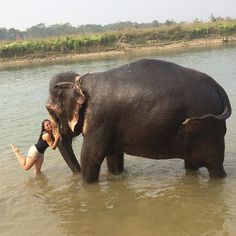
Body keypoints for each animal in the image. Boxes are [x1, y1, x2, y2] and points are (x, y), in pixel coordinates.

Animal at [46, 58, 230, 183]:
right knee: (191, 164)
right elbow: (113, 155)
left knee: (215, 167)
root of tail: (217, 86)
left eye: (49, 110)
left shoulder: (99, 118)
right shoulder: (109, 124)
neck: (80, 81)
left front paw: (86, 185)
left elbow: (91, 155)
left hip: (208, 128)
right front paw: (116, 176)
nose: (76, 176)